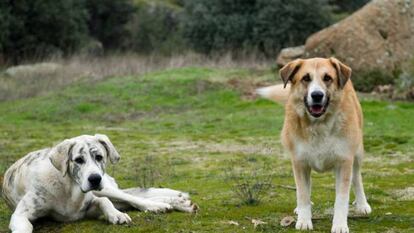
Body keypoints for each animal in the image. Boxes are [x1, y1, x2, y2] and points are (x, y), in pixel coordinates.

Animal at [2, 135, 197, 233]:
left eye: (99, 157)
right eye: (78, 160)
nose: (95, 179)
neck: (69, 189)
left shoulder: (90, 203)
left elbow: (104, 202)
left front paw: (116, 216)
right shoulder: (20, 214)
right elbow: (23, 227)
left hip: (107, 188)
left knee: (132, 198)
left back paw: (164, 205)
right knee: (130, 199)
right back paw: (178, 202)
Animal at [258, 57, 372, 233]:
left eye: (327, 78)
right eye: (306, 78)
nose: (317, 95)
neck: (319, 125)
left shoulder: (344, 162)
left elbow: (341, 199)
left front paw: (340, 225)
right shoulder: (299, 162)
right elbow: (303, 193)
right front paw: (304, 220)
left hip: (358, 152)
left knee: (357, 177)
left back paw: (362, 204)